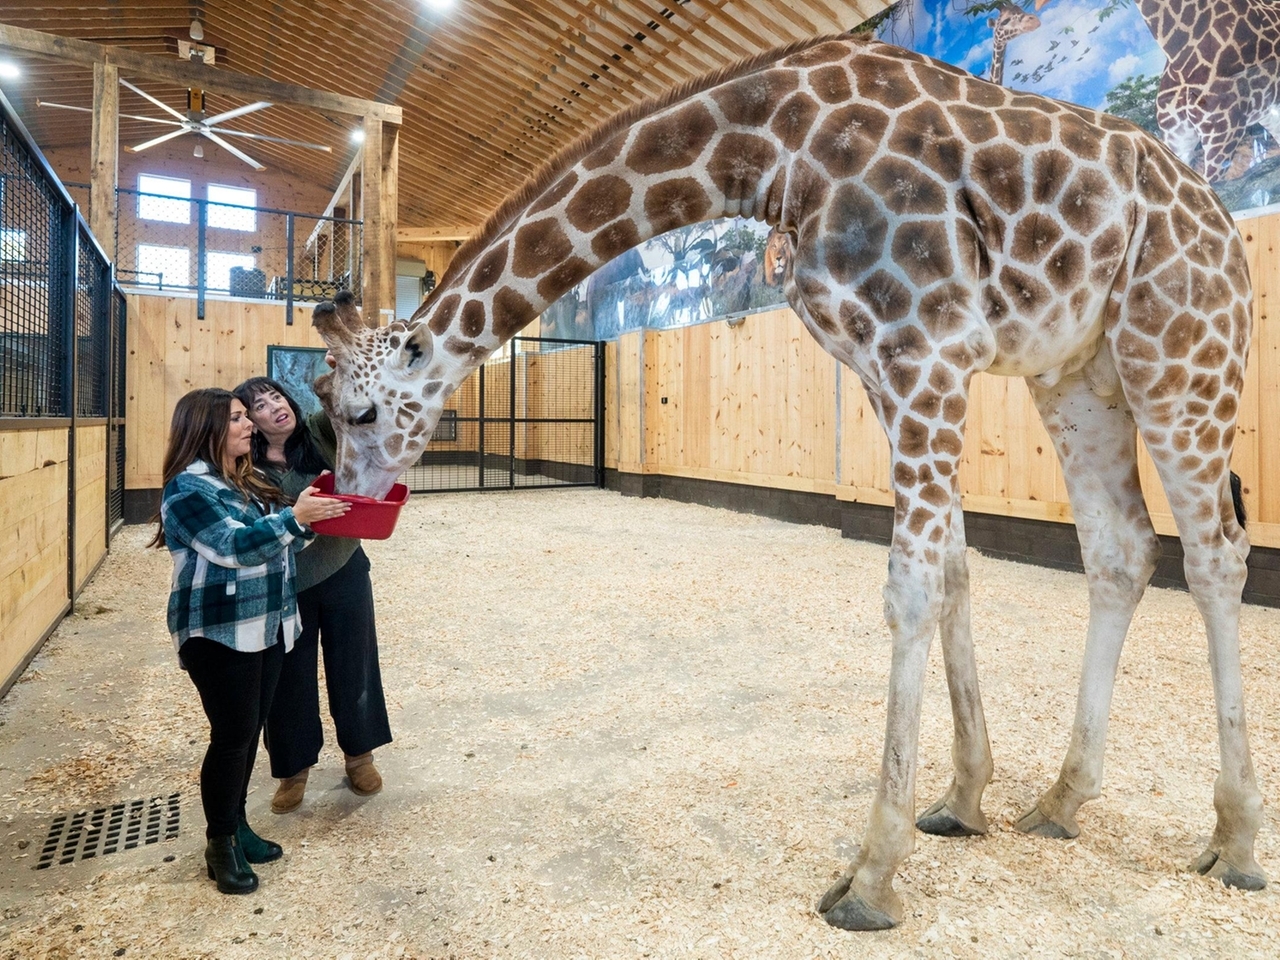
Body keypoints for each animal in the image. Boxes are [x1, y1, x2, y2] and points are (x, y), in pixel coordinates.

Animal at [310, 32, 1264, 930]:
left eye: (357, 411)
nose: (347, 507)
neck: (768, 150)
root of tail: (1224, 230)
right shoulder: (886, 369)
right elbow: (955, 575)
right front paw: (961, 800)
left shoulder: (925, 349)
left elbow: (911, 590)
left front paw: (872, 877)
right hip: (1077, 374)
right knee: (1122, 550)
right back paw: (1063, 799)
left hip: (1179, 355)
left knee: (1216, 553)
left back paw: (1237, 841)